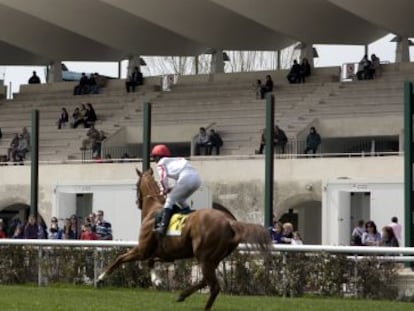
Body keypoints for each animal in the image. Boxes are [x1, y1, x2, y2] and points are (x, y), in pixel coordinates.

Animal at [98, 169, 272, 310]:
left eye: (136, 185)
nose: (137, 203)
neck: (153, 211)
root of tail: (230, 221)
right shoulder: (165, 253)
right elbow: (151, 261)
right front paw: (157, 280)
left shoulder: (142, 249)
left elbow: (120, 258)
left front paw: (100, 278)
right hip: (213, 258)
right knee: (205, 281)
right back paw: (182, 295)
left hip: (205, 257)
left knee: (214, 286)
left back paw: (202, 306)